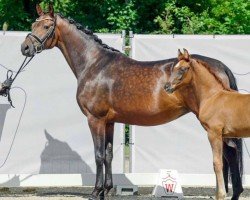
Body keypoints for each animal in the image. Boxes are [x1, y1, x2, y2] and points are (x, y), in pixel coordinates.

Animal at [164, 48, 248, 200]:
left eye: (183, 69)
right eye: (173, 68)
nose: (167, 87)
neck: (213, 96)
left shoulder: (214, 134)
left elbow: (217, 163)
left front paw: (220, 194)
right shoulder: (223, 136)